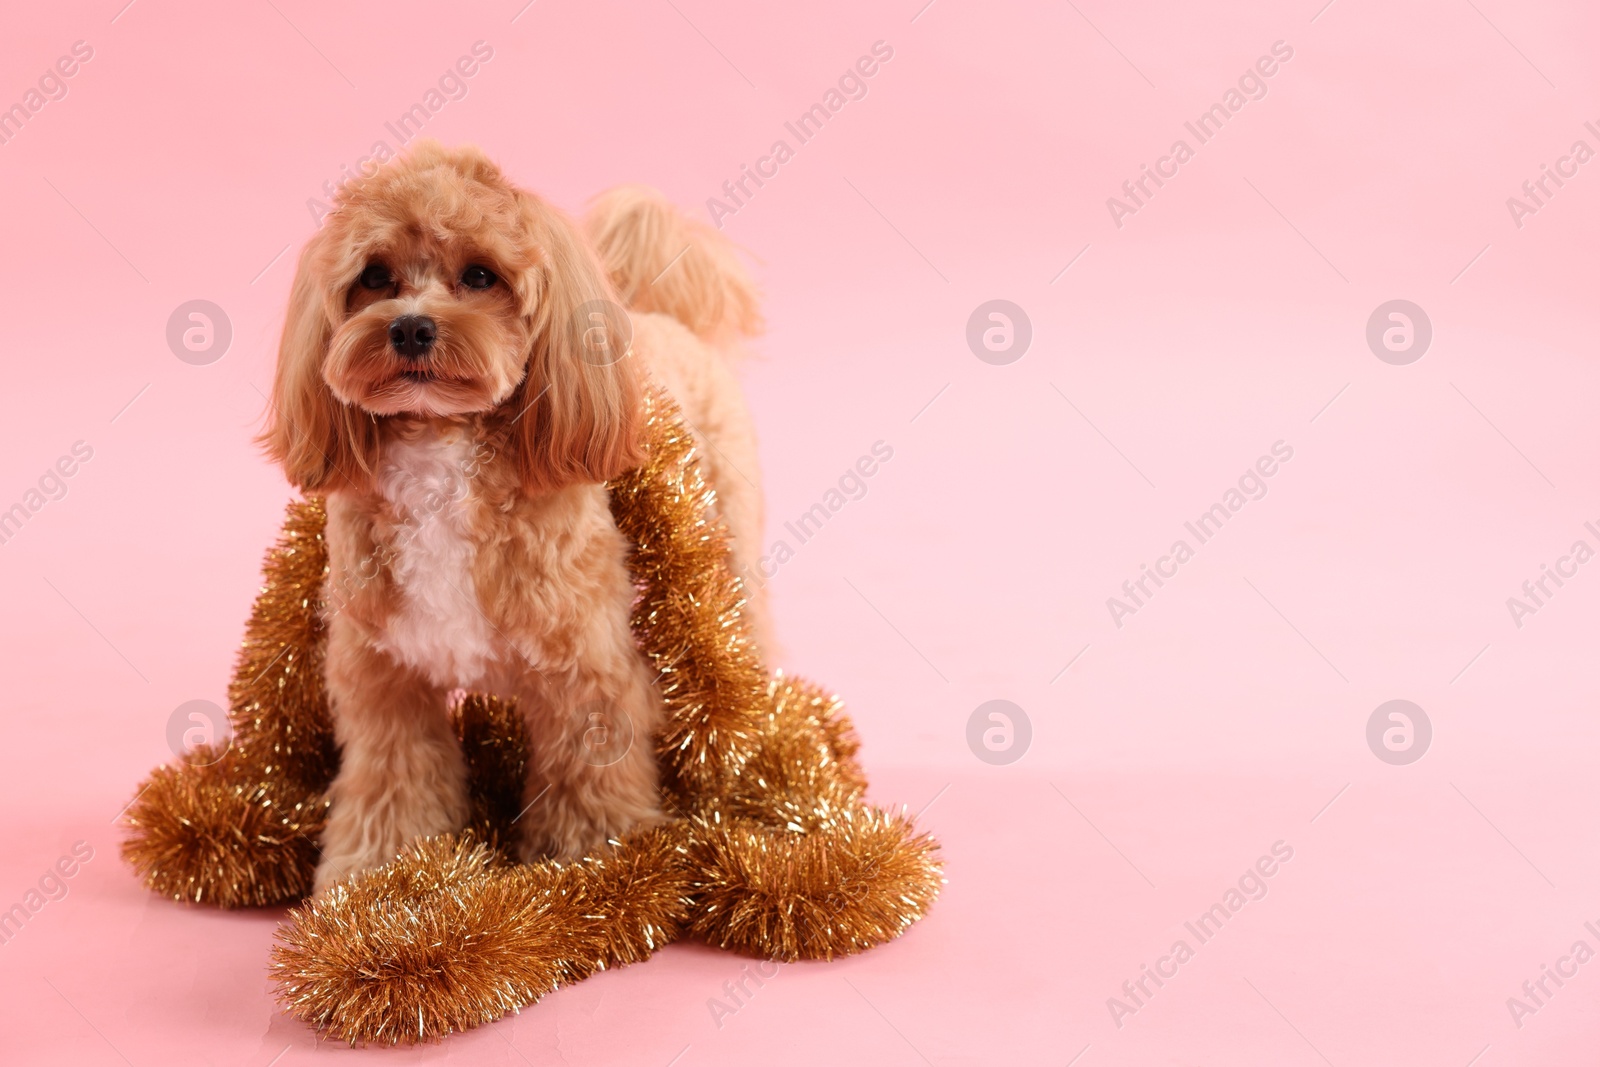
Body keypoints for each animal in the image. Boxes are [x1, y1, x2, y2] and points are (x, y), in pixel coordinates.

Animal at [257, 141, 768, 895]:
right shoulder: (384, 676)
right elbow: (392, 778)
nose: (411, 326)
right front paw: (380, 876)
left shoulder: (586, 667)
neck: (441, 449)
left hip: (729, 537)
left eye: (480, 274)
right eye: (374, 276)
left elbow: (587, 779)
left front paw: (594, 870)